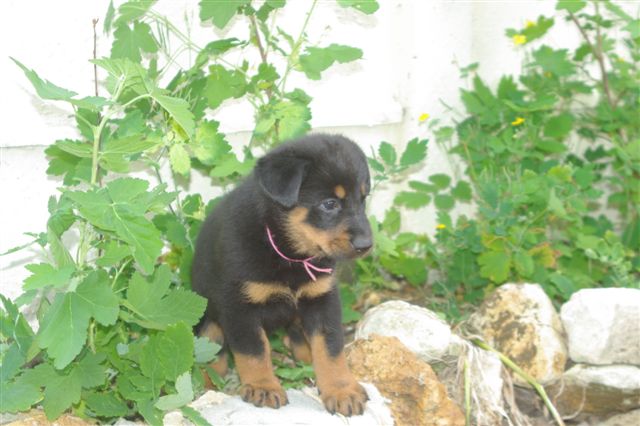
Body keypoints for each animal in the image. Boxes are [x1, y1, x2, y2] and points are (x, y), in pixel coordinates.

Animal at [191, 133, 373, 416]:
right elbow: (254, 351)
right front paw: (263, 386)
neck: (288, 252)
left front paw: (341, 389)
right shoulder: (238, 306)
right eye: (329, 204)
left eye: (363, 199)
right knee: (212, 352)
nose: (366, 245)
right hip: (208, 319)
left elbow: (330, 348)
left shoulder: (322, 299)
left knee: (298, 338)